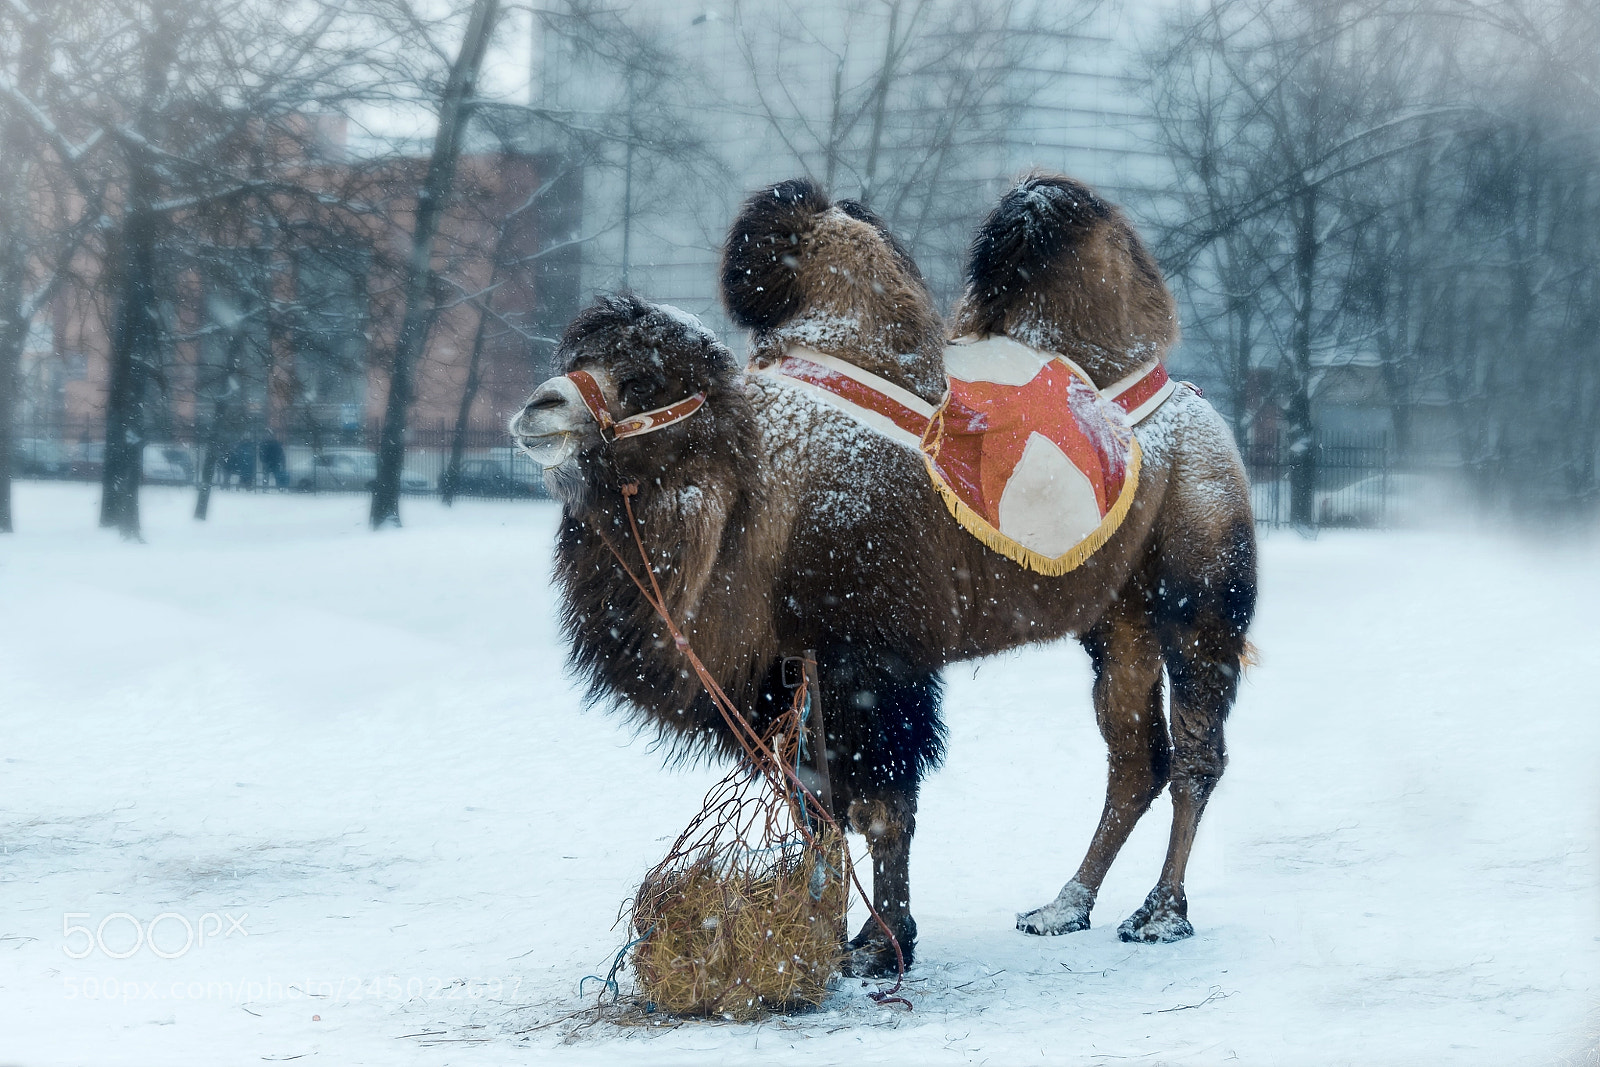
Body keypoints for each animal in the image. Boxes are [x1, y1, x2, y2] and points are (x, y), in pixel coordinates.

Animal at [511, 175, 1256, 978]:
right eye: (578, 352)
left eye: (643, 377)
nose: (538, 408)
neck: (762, 490)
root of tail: (1185, 395)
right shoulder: (786, 667)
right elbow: (818, 808)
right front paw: (824, 938)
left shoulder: (875, 656)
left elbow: (882, 804)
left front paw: (883, 943)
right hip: (1119, 618)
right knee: (1135, 759)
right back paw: (1064, 906)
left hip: (1199, 585)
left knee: (1196, 753)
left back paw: (1161, 913)